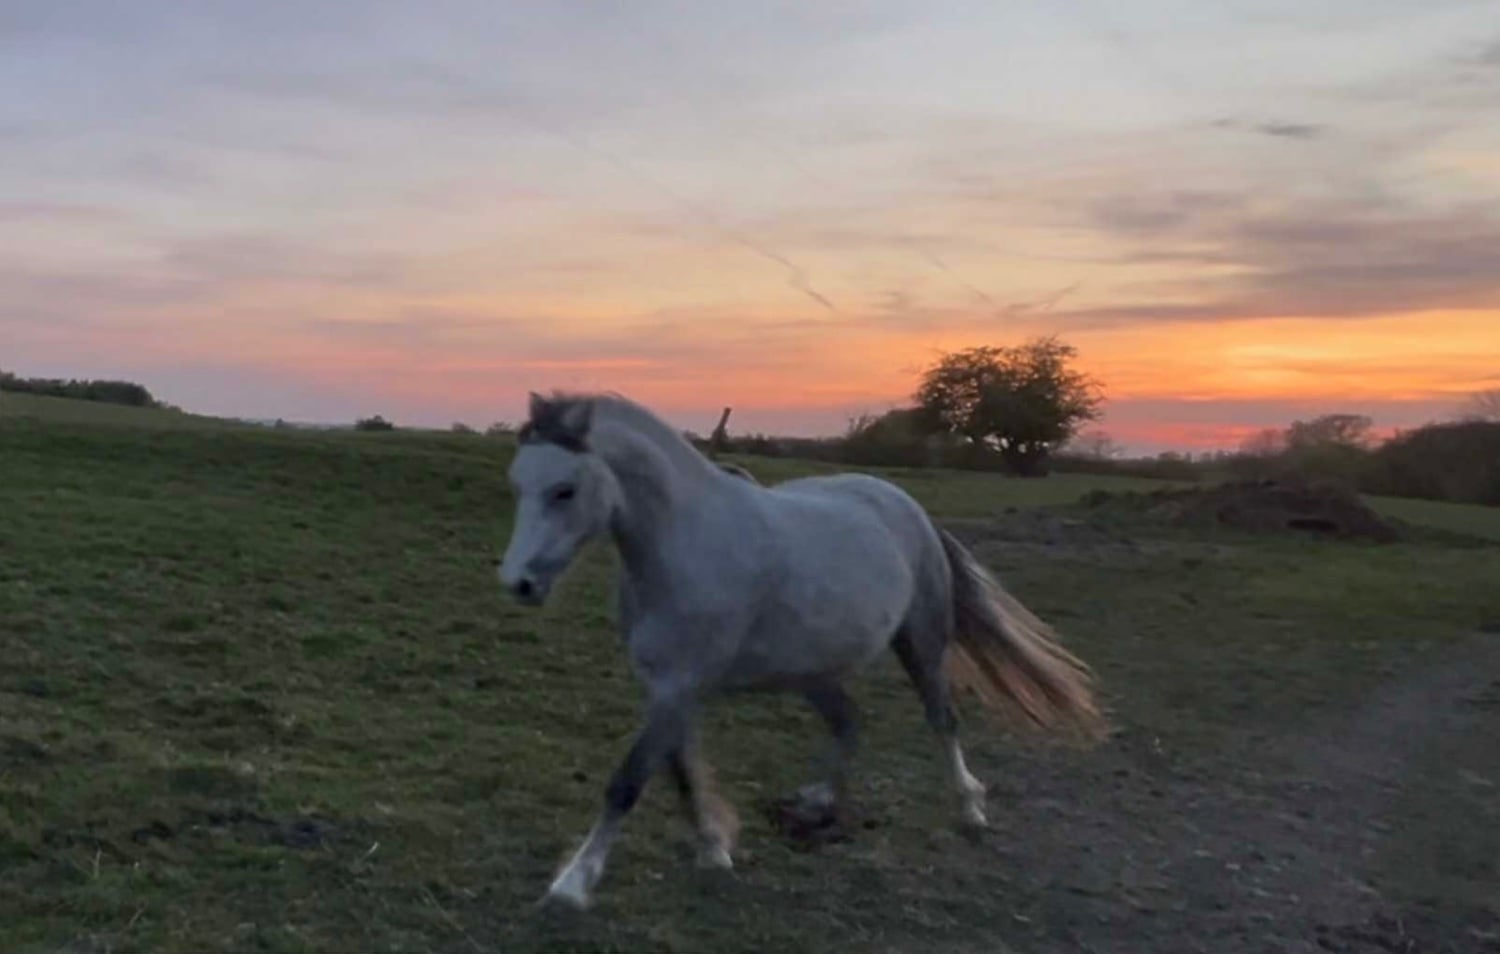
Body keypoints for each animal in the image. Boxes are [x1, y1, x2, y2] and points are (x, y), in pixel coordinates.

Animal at [497, 392, 1105, 909]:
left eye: (564, 490)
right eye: (517, 484)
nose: (519, 584)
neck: (684, 545)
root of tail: (910, 508)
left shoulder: (679, 685)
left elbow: (627, 781)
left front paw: (572, 885)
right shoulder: (668, 687)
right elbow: (680, 771)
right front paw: (715, 849)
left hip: (922, 643)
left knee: (942, 719)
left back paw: (970, 809)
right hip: (813, 672)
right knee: (849, 721)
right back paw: (815, 806)